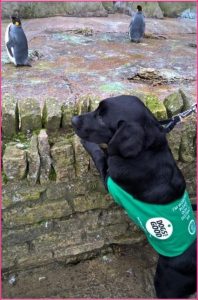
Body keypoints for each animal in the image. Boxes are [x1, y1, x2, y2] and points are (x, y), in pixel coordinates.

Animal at [71, 94, 196, 298]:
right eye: (96, 110)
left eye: (101, 118)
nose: (73, 120)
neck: (145, 152)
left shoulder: (109, 176)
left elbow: (100, 154)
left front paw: (87, 143)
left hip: (167, 282)